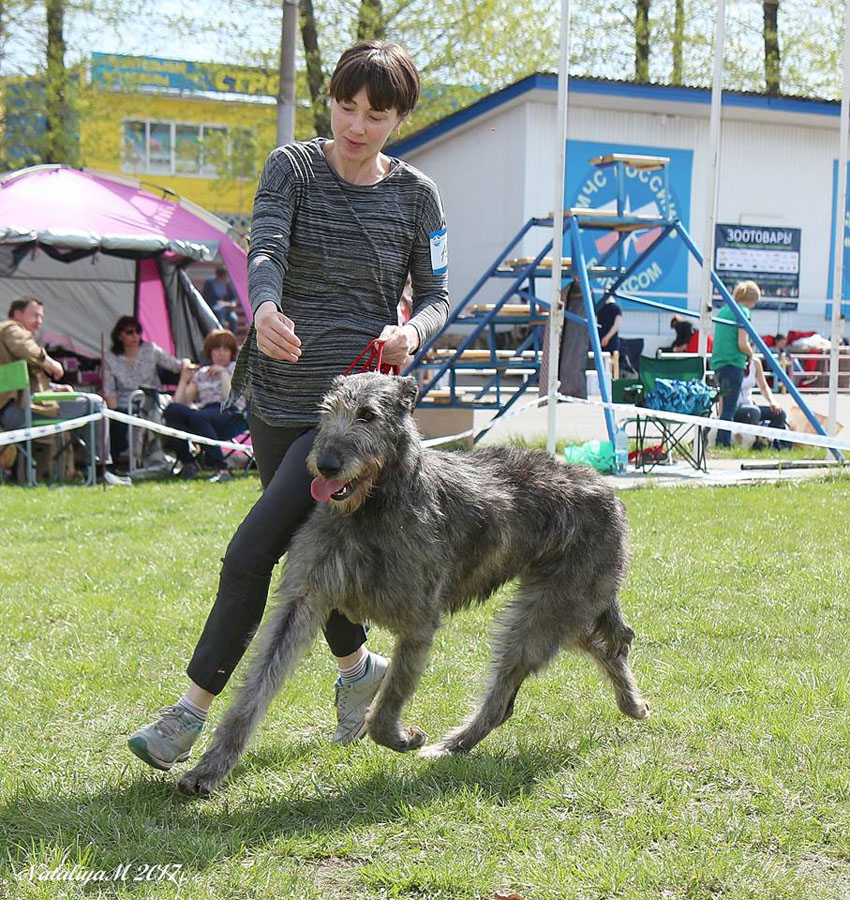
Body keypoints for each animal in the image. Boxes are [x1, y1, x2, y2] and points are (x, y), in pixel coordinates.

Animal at [177, 372, 644, 796]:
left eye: (367, 415)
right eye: (326, 413)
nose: (325, 464)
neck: (373, 505)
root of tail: (606, 489)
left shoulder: (418, 623)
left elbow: (387, 706)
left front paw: (403, 737)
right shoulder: (305, 597)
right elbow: (255, 687)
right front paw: (209, 768)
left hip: (551, 607)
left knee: (527, 680)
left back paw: (453, 744)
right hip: (563, 605)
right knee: (604, 644)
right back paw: (631, 702)